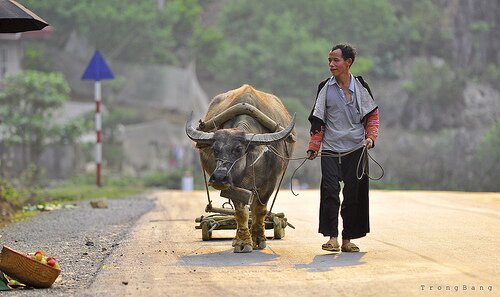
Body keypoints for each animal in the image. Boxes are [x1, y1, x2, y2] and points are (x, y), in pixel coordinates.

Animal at [188, 84, 296, 252]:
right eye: (215, 149)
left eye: (238, 149)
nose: (219, 178)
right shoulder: (233, 186)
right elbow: (241, 212)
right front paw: (243, 242)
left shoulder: (269, 183)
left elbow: (260, 210)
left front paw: (258, 238)